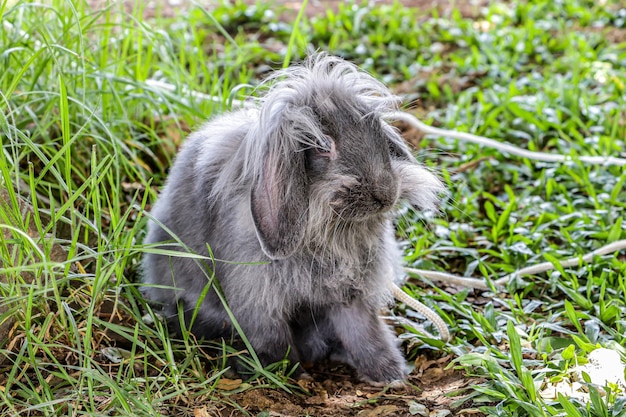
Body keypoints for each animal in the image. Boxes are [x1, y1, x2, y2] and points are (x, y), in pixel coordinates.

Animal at [141, 52, 444, 384]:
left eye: (376, 131)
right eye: (323, 146)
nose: (385, 194)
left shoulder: (351, 293)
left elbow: (364, 330)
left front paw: (389, 374)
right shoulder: (258, 297)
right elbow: (271, 336)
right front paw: (287, 373)